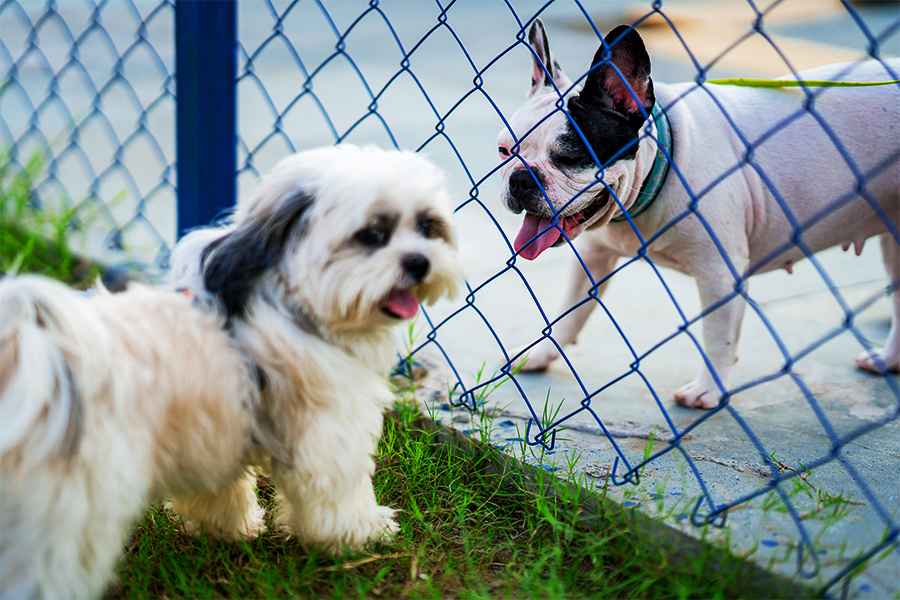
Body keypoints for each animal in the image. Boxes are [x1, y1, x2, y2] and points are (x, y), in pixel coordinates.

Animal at [0, 144, 461, 598]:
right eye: (372, 235)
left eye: (428, 226)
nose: (419, 261)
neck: (290, 301)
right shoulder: (327, 433)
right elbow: (338, 492)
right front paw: (362, 533)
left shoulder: (215, 434)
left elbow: (219, 491)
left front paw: (225, 529)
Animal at [498, 19, 899, 409]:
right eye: (504, 150)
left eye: (571, 156)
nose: (521, 178)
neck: (661, 162)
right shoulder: (594, 257)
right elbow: (570, 310)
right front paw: (541, 353)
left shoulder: (719, 275)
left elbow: (717, 337)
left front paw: (707, 390)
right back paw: (887, 360)